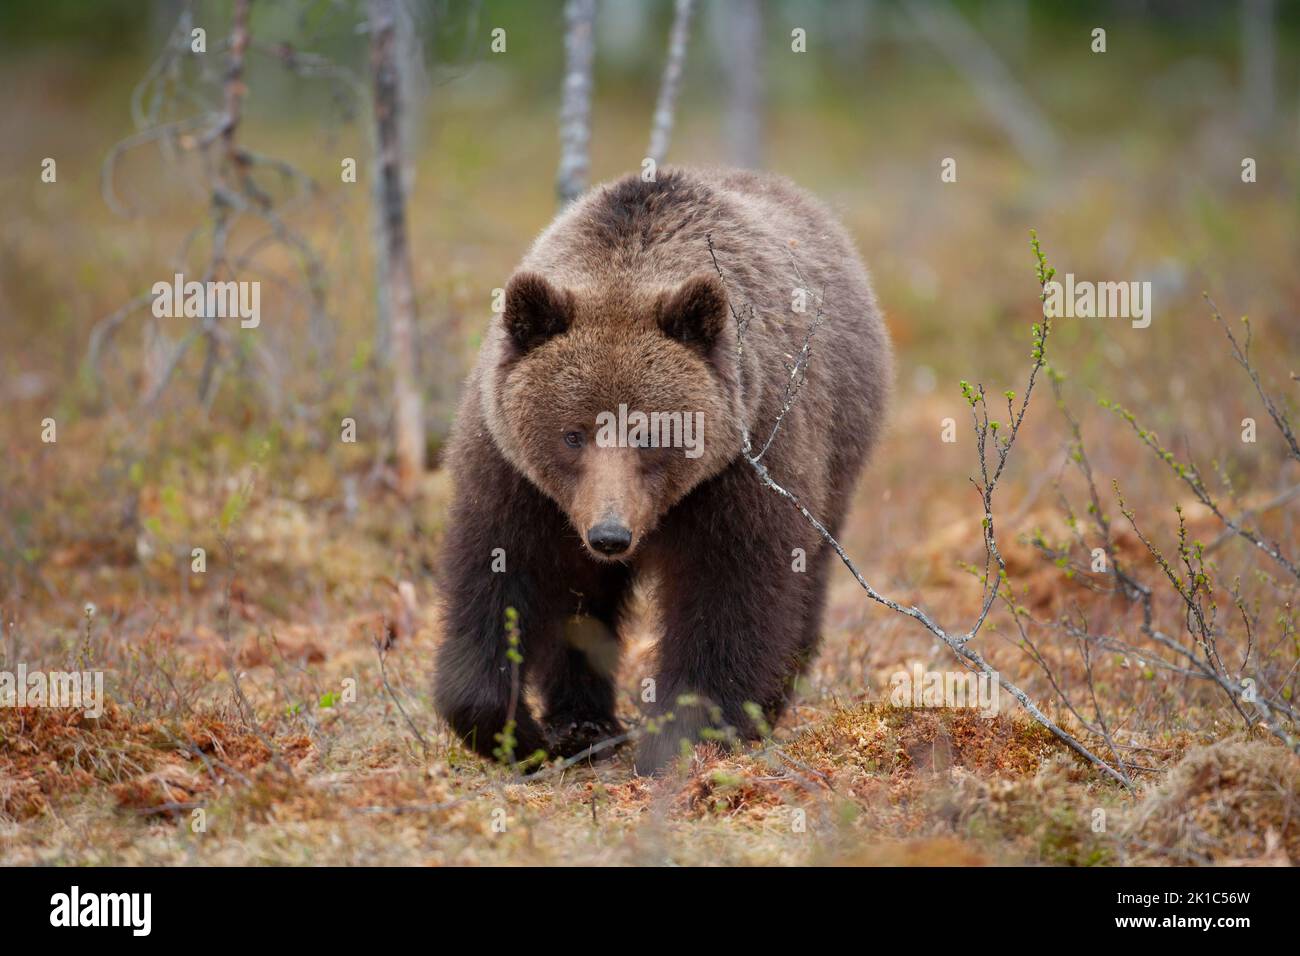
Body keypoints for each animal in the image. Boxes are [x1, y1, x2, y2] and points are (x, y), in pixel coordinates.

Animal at [433, 166, 892, 774]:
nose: (609, 535)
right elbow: (499, 579)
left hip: (839, 451)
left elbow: (730, 594)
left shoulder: (744, 463)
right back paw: (583, 724)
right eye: (573, 434)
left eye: (649, 433)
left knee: (807, 578)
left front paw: (681, 736)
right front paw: (517, 733)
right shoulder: (515, 474)